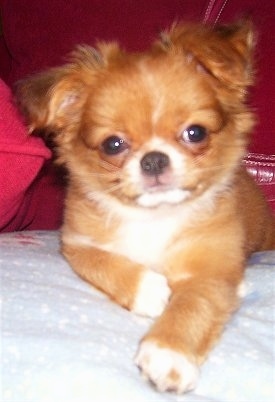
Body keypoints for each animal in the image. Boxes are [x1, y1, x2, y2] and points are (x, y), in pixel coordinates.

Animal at [17, 21, 275, 392]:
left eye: (195, 133)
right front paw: (149, 290)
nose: (153, 159)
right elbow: (102, 261)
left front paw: (169, 353)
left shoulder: (211, 267)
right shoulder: (76, 242)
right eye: (113, 145)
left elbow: (193, 304)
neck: (155, 217)